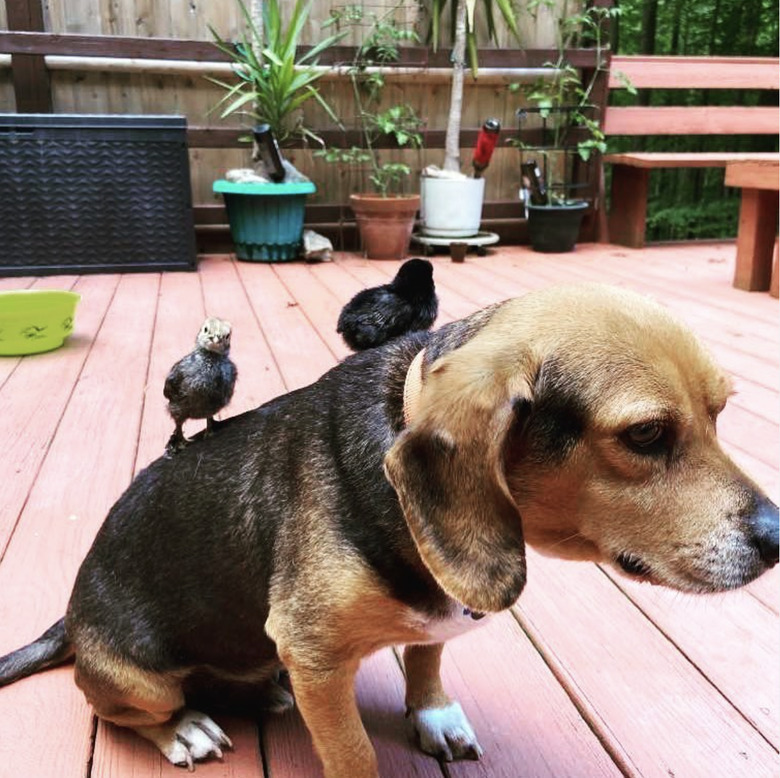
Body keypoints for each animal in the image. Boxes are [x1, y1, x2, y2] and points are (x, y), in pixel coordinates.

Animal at [1, 282, 780, 772]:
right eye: (646, 435)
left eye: (721, 412)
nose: (778, 538)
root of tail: (70, 619)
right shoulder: (315, 656)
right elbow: (353, 755)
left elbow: (429, 656)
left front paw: (433, 713)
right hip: (142, 682)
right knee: (131, 712)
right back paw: (185, 730)